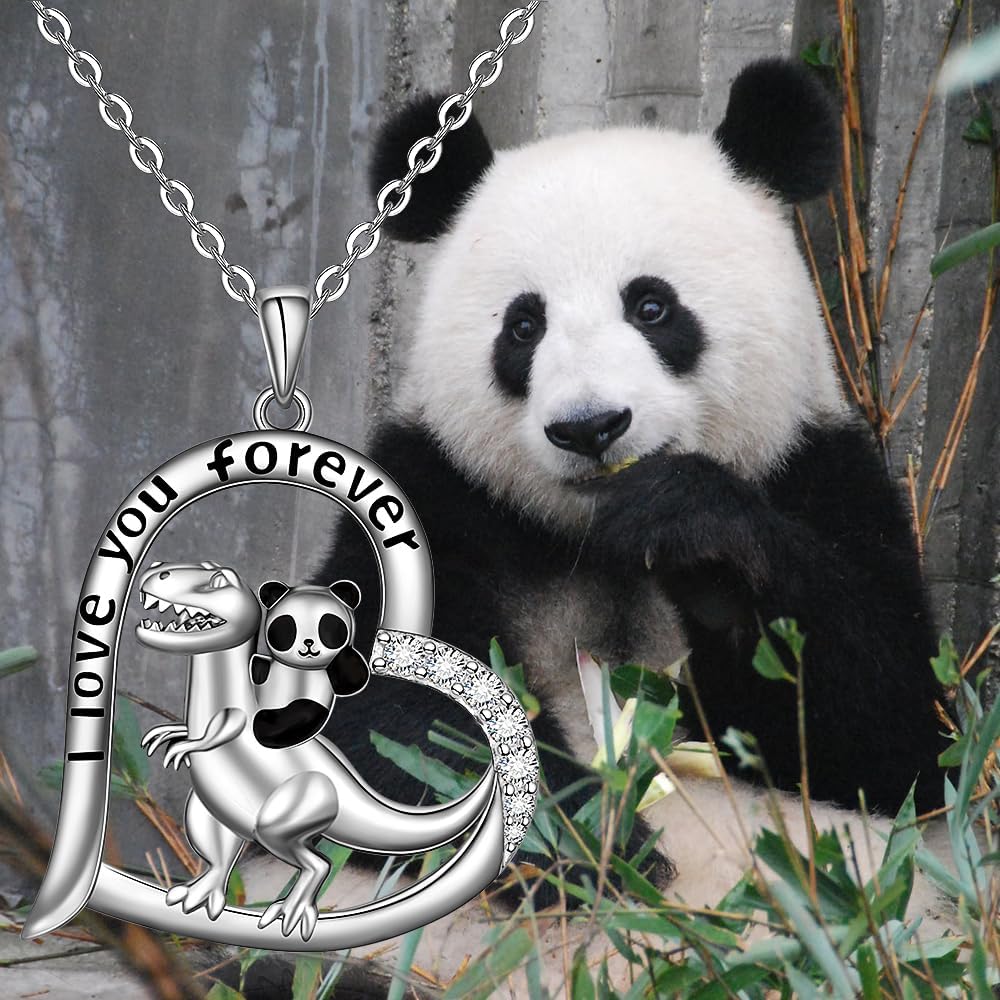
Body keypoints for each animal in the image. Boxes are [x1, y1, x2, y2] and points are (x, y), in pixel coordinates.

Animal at [249, 579, 370, 749]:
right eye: (289, 625)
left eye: (325, 624)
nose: (308, 642)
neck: (302, 669)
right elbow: (258, 666)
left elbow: (352, 681)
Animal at [313, 58, 947, 896]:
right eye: (524, 326)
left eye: (652, 306)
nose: (590, 427)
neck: (591, 534)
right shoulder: (437, 492)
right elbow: (391, 714)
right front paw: (596, 840)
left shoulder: (817, 469)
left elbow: (894, 735)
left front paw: (694, 537)